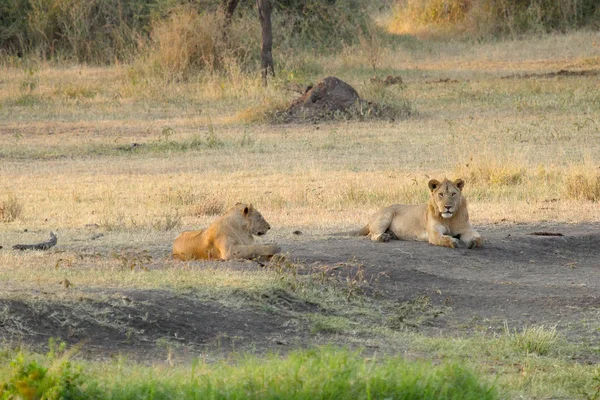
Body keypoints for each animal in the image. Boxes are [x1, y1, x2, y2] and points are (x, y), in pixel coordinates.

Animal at [338, 179, 482, 248]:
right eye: (441, 194)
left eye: (453, 194)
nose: (447, 207)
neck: (449, 219)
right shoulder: (434, 233)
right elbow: (442, 238)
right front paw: (453, 241)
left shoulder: (466, 229)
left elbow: (479, 238)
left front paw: (472, 242)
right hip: (386, 216)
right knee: (371, 235)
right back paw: (383, 237)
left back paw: (391, 235)